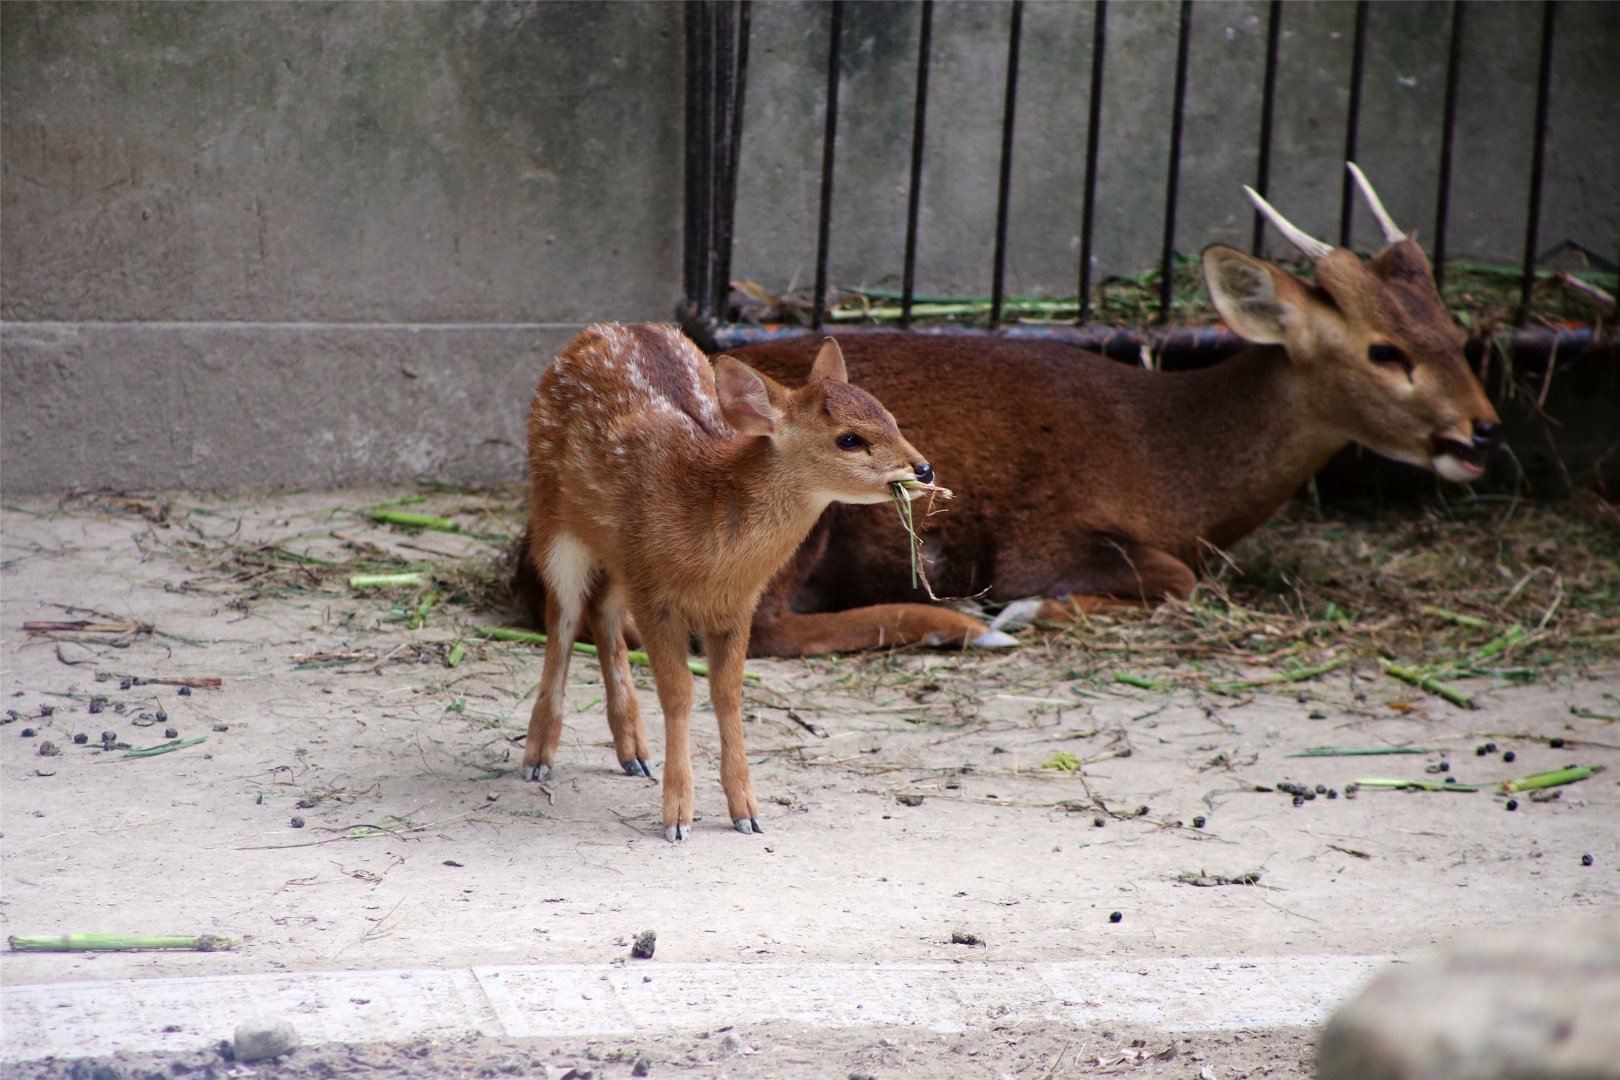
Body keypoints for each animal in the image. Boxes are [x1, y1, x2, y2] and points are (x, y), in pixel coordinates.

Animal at [520, 323, 937, 841]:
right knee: (562, 617)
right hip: (555, 520)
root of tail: (599, 330)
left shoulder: (736, 603)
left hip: (618, 554)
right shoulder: (655, 594)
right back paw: (538, 756)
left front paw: (746, 811)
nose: (923, 469)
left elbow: (727, 692)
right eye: (849, 438)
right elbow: (679, 693)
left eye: (893, 419)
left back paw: (634, 753)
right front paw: (678, 817)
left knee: (601, 612)